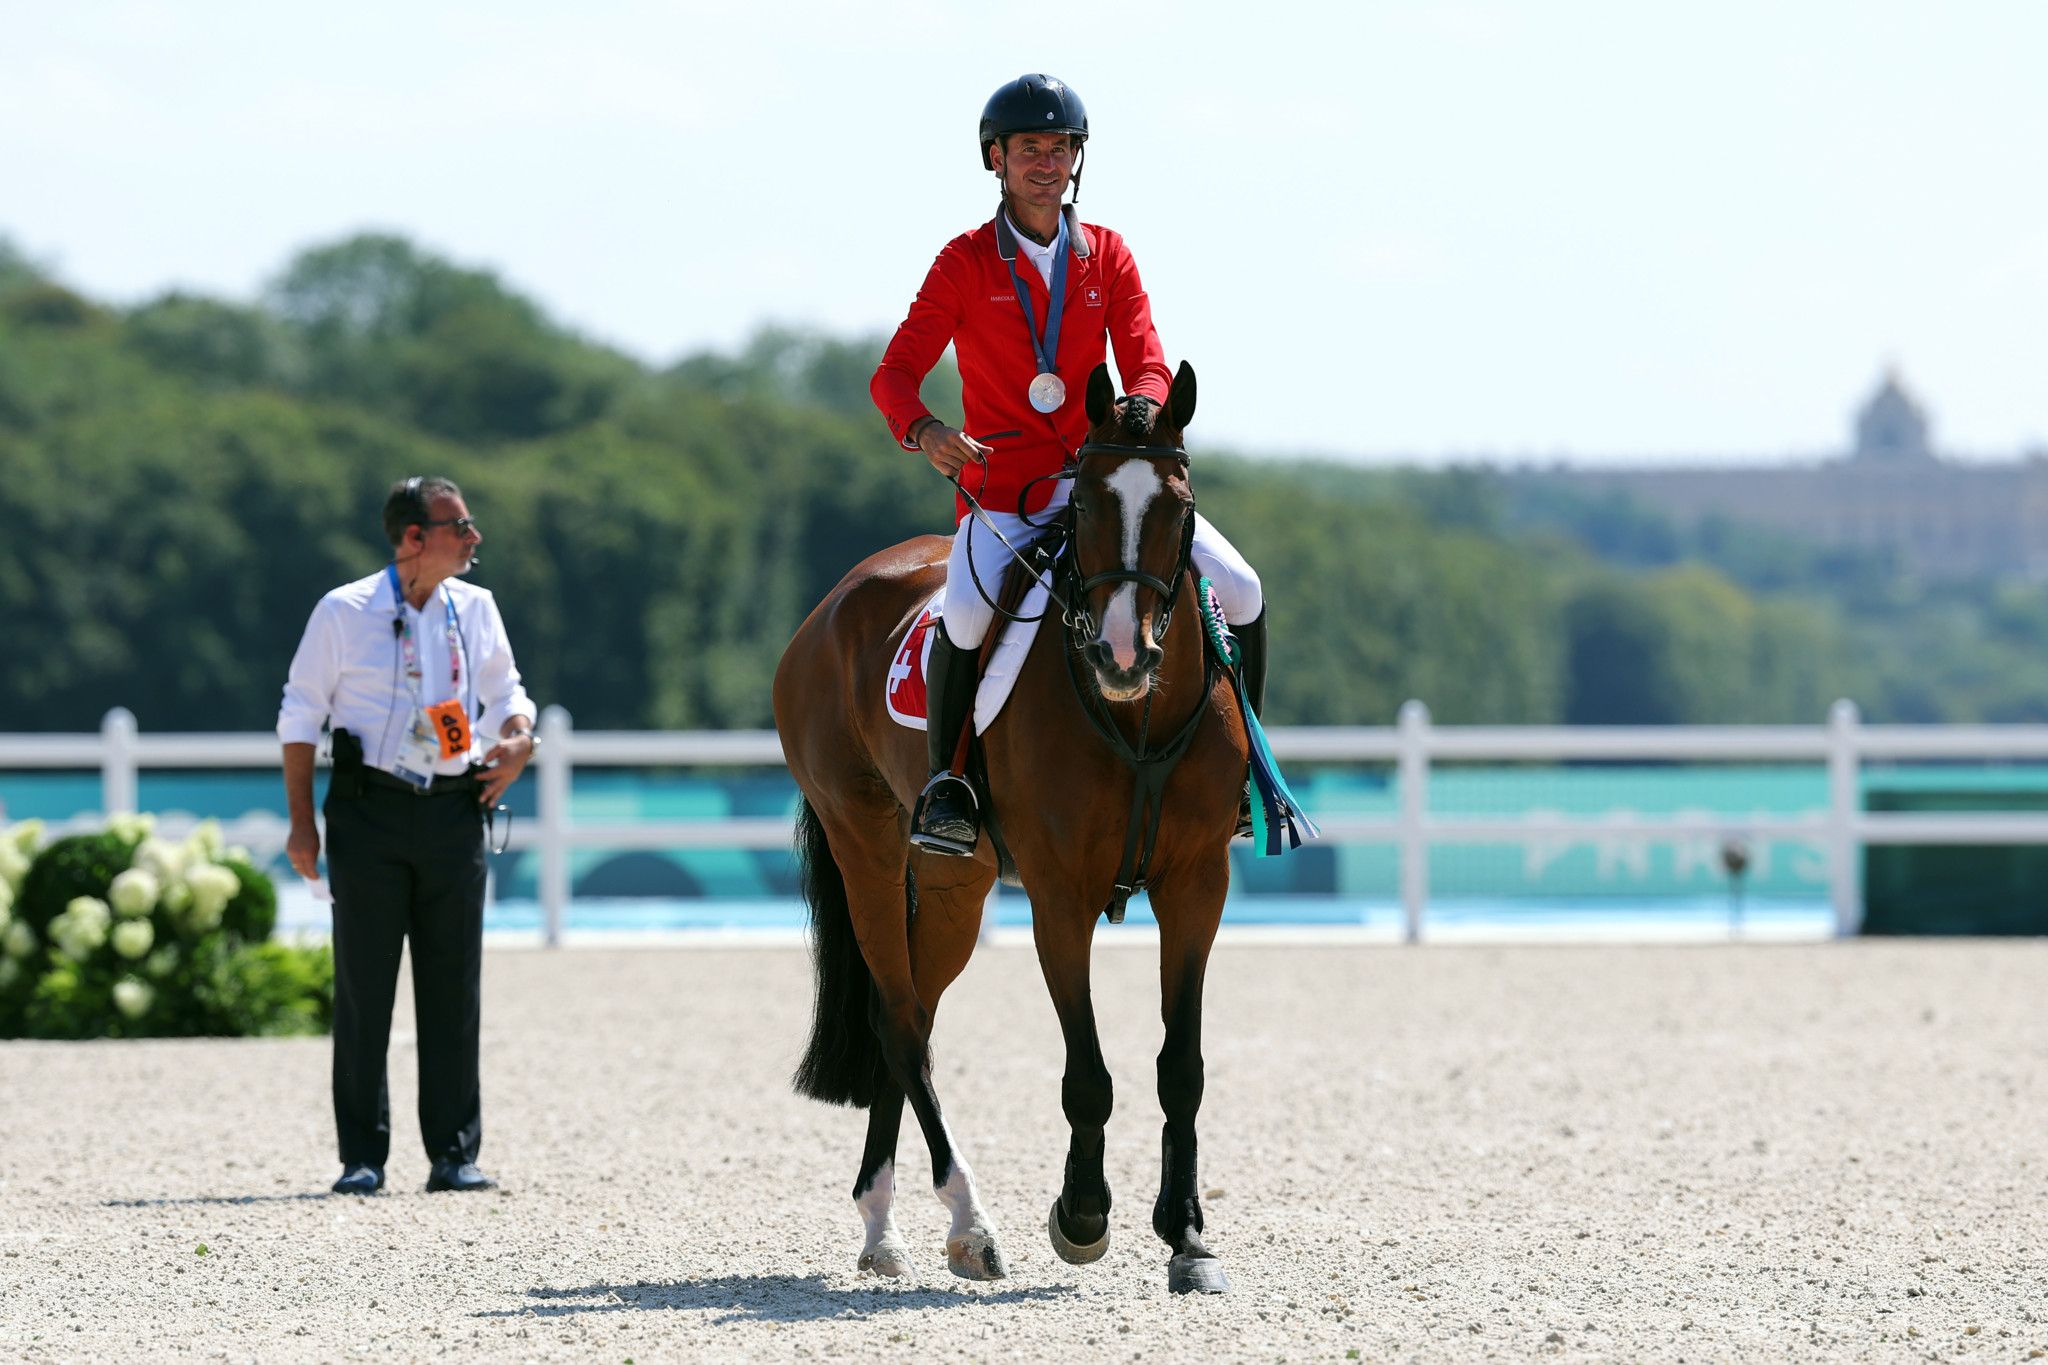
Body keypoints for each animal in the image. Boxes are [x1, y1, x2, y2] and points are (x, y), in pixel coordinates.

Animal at [770, 358, 1236, 1301]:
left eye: (1179, 505)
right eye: (1084, 505)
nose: (1122, 657)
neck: (1132, 718)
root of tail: (831, 604)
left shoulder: (1198, 886)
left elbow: (1182, 1066)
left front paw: (1187, 1235)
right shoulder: (1060, 896)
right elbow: (1088, 1075)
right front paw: (1082, 1216)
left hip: (958, 883)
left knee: (904, 1010)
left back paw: (884, 1226)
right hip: (866, 845)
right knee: (902, 1024)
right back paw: (966, 1224)